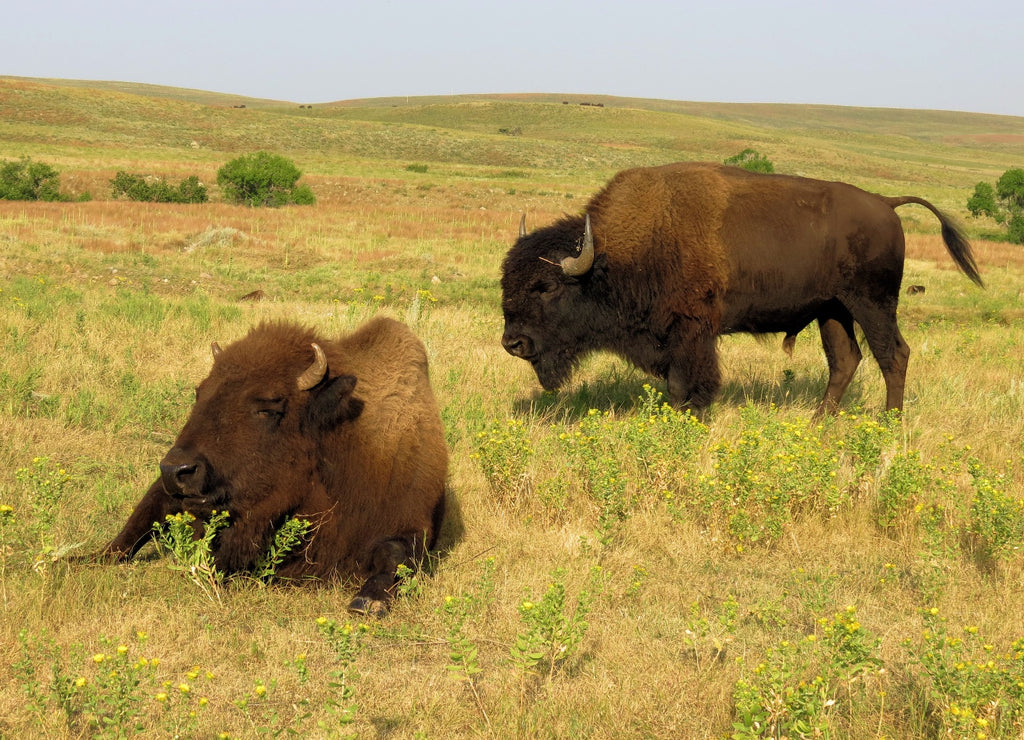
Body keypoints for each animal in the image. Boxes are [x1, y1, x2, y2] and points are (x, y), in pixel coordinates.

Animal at [102, 319, 448, 614]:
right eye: (199, 394)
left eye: (268, 407)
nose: (176, 471)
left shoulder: (412, 521)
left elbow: (394, 553)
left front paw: (367, 602)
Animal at [503, 163, 983, 417]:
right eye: (507, 279)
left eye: (546, 286)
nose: (513, 343)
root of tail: (886, 203)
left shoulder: (692, 332)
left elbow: (686, 383)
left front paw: (689, 419)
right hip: (833, 310)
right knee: (846, 360)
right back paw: (818, 422)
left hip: (873, 304)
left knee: (893, 355)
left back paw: (887, 424)